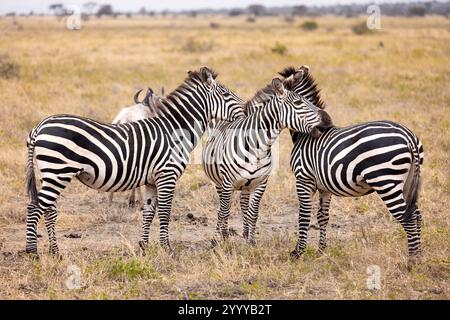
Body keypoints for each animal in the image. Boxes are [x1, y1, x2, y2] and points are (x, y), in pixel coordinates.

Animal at [24, 67, 244, 255]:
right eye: (226, 94)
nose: (244, 110)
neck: (174, 130)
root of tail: (40, 126)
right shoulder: (167, 175)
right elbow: (165, 212)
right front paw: (167, 248)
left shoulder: (152, 180)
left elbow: (148, 212)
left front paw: (144, 246)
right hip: (57, 171)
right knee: (35, 208)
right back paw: (33, 252)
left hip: (49, 174)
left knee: (49, 210)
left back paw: (55, 252)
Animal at [202, 76, 332, 244]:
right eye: (298, 103)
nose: (328, 120)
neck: (257, 147)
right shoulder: (227, 182)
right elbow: (224, 211)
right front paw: (220, 241)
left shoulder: (261, 183)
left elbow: (253, 214)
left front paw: (251, 242)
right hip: (219, 182)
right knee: (222, 208)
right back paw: (220, 235)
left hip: (246, 185)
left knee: (243, 204)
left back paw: (244, 233)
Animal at [280, 65, 424, 262]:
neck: (306, 134)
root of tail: (408, 135)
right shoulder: (324, 186)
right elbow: (322, 216)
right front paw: (321, 251)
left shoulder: (303, 179)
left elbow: (304, 215)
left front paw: (298, 252)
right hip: (408, 181)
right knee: (416, 215)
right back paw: (419, 256)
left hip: (386, 181)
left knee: (408, 218)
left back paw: (412, 261)